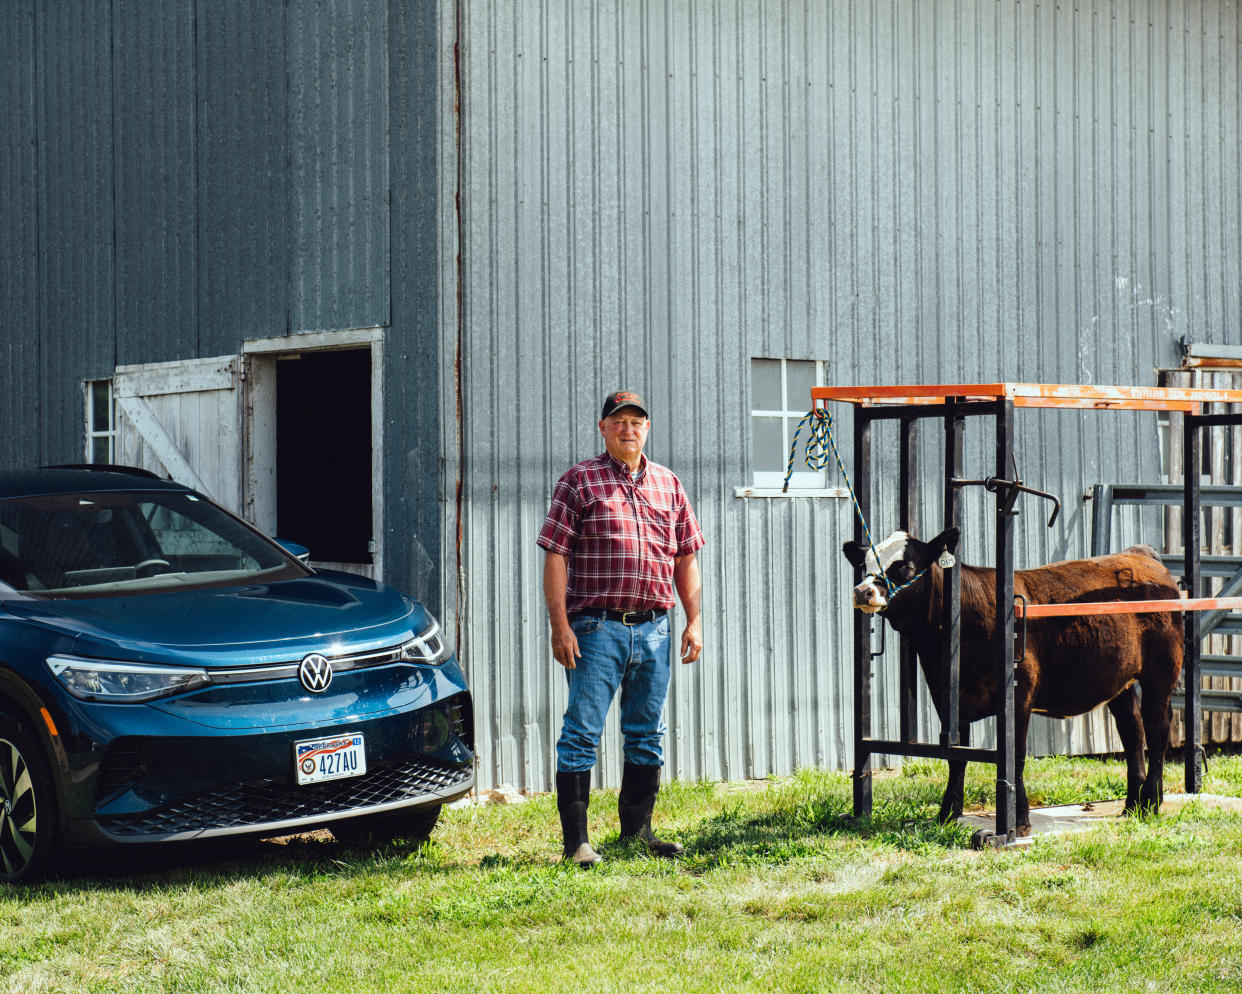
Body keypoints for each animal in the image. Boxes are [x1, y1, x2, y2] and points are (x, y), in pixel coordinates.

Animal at [844, 524, 1182, 834]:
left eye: (904, 565)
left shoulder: (1019, 696)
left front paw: (1017, 821)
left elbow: (1015, 756)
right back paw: (1132, 805)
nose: (862, 591)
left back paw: (1151, 802)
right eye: (866, 564)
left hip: (1162, 669)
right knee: (1132, 731)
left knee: (1157, 725)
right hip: (1119, 680)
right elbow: (956, 757)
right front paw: (947, 815)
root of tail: (1138, 554)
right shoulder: (948, 700)